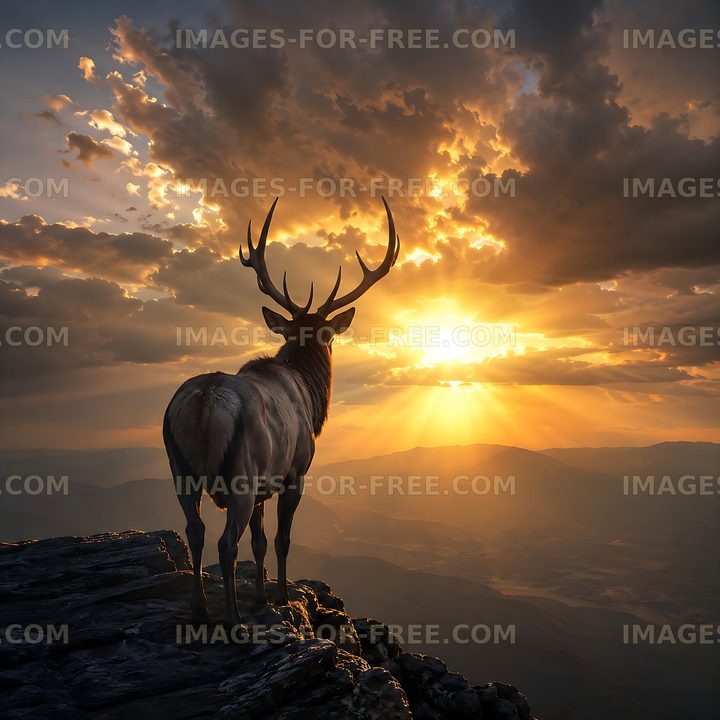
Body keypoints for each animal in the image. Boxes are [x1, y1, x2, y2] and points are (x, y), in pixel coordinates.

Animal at [163, 197, 399, 626]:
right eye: (328, 335)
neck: (311, 395)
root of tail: (203, 403)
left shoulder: (261, 487)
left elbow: (259, 541)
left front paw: (261, 593)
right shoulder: (295, 472)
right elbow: (281, 538)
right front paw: (283, 595)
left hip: (179, 468)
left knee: (195, 531)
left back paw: (201, 607)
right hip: (239, 474)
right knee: (225, 542)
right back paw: (233, 618)